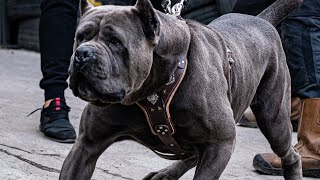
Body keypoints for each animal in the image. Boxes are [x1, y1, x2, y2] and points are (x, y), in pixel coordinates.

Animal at [59, 0, 302, 179]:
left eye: (115, 41)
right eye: (80, 36)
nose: (83, 53)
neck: (153, 92)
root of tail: (262, 20)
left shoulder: (221, 142)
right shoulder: (87, 144)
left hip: (273, 120)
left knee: (290, 153)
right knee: (191, 153)